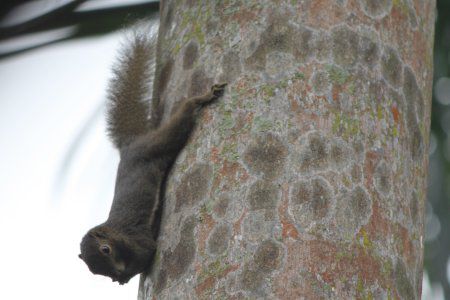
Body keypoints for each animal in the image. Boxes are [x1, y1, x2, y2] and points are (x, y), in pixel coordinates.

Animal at [78, 20, 227, 284]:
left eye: (105, 249)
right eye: (93, 270)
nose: (116, 275)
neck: (117, 233)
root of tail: (129, 145)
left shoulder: (139, 241)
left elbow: (147, 255)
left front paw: (128, 274)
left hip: (156, 144)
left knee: (179, 122)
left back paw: (200, 98)